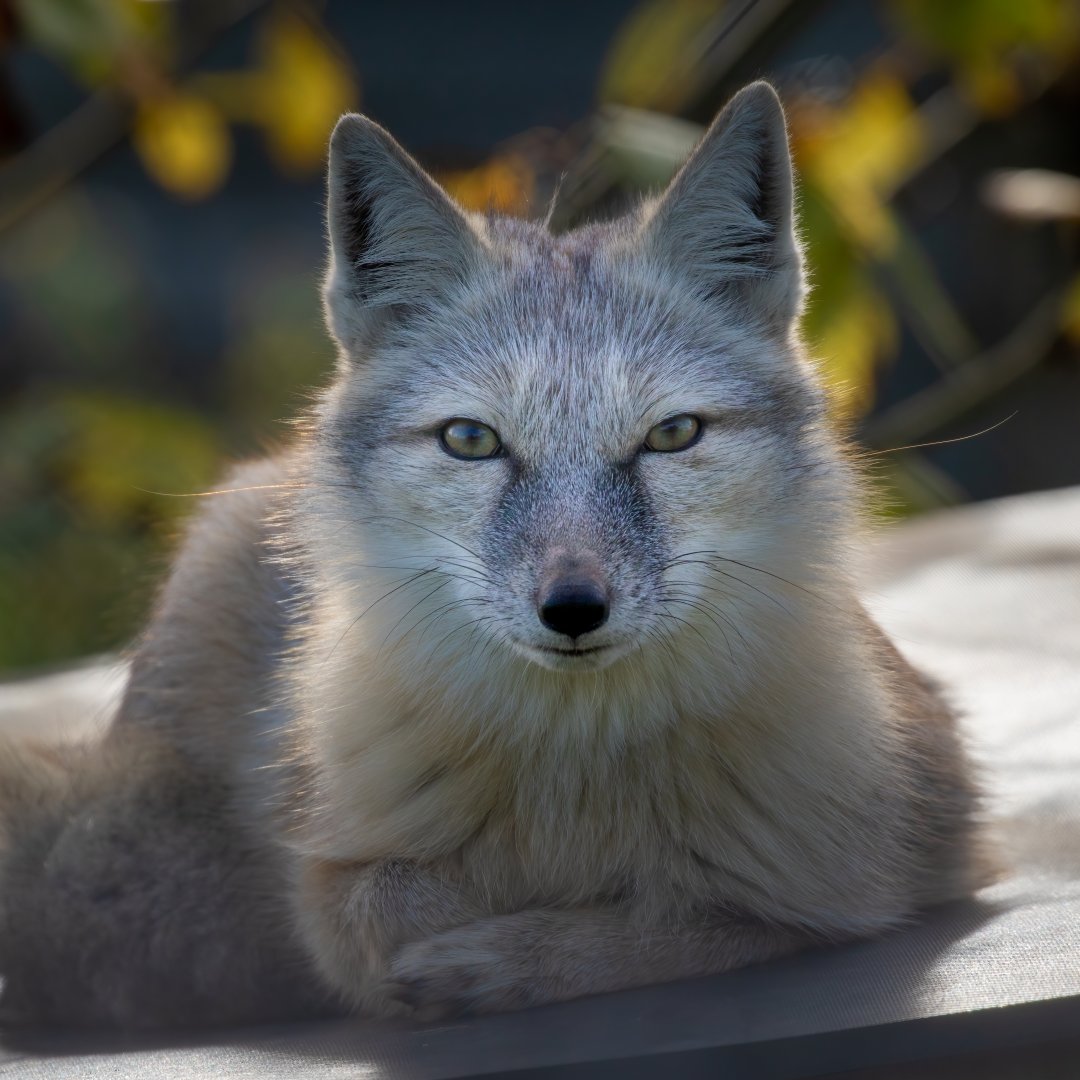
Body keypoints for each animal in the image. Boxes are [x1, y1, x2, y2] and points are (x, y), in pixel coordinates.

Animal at [0, 82, 985, 1029]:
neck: (575, 780)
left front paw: (514, 957)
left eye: (672, 435)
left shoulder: (899, 844)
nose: (574, 609)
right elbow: (366, 909)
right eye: (471, 441)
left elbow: (727, 912)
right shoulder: (337, 876)